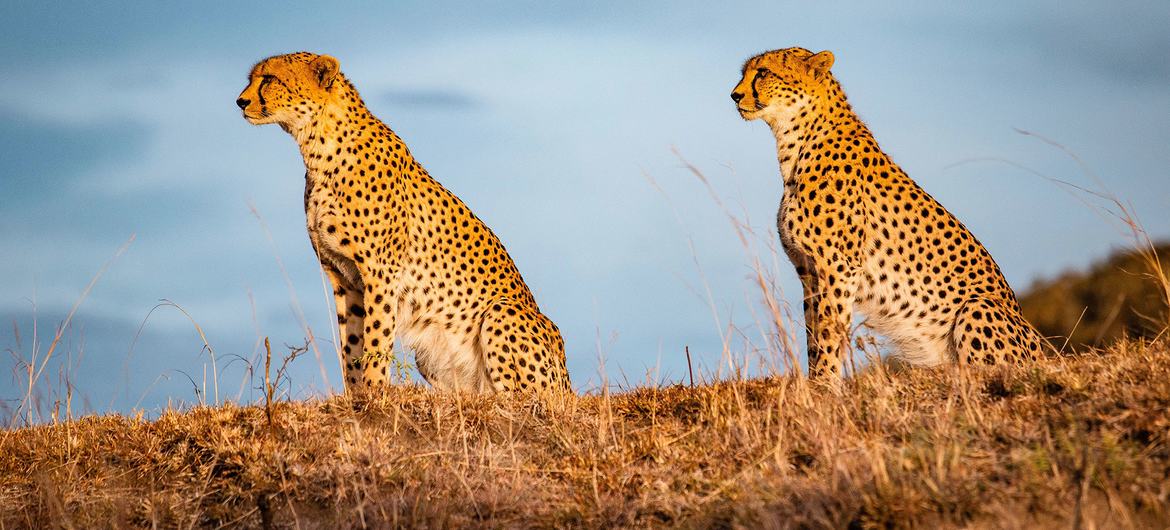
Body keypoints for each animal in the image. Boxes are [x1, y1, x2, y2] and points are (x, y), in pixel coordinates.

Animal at [233, 52, 570, 393]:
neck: (319, 148)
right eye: (252, 78)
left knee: (519, 397)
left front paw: (374, 392)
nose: (240, 101)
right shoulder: (343, 277)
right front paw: (355, 395)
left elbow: (376, 338)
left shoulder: (381, 272)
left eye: (270, 78)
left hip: (503, 313)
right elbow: (351, 345)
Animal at [730, 46, 1053, 376]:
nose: (734, 95)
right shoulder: (808, 271)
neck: (797, 141)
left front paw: (827, 382)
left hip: (978, 307)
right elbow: (813, 335)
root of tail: (1043, 354)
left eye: (763, 72)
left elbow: (830, 333)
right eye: (744, 73)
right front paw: (813, 382)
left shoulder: (838, 267)